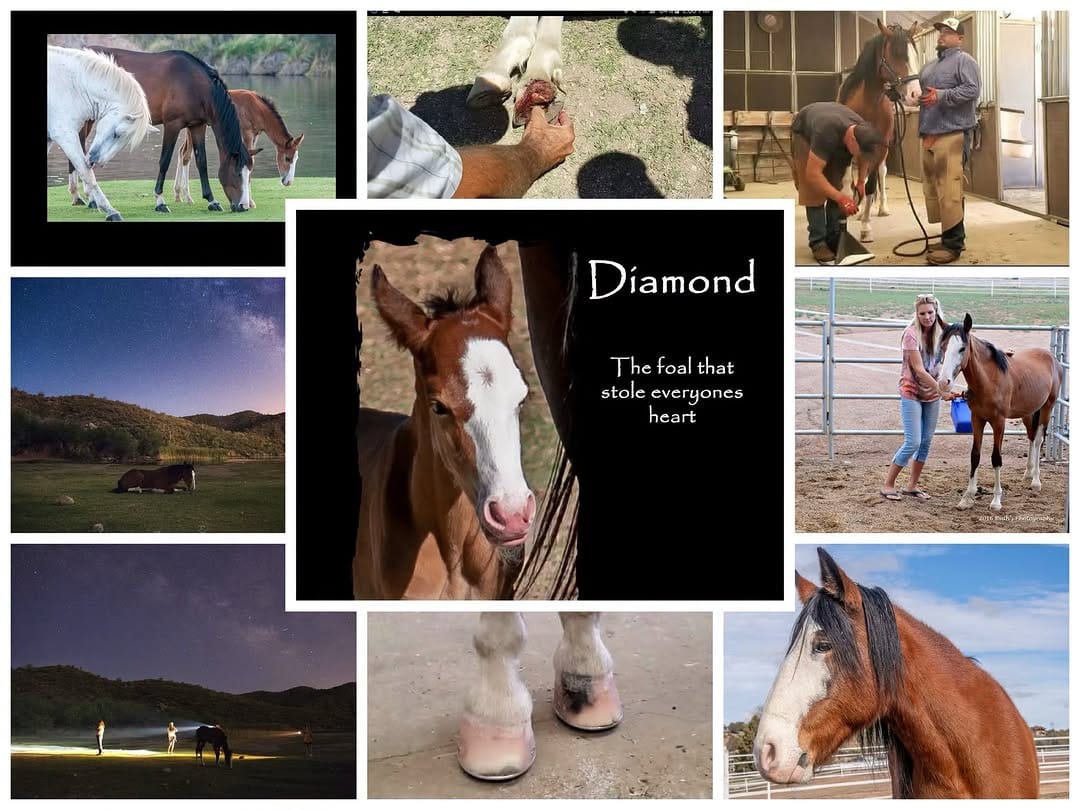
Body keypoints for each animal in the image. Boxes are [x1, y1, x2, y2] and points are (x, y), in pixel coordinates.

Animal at [46, 46, 157, 222]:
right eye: (117, 134)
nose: (96, 161)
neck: (72, 85)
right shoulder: (66, 135)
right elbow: (87, 173)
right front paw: (110, 210)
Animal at [68, 46, 252, 213]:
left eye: (248, 173)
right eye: (238, 173)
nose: (243, 206)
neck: (194, 84)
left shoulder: (197, 126)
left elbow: (202, 162)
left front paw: (212, 201)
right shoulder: (172, 125)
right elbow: (165, 161)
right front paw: (160, 201)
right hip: (87, 120)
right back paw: (82, 197)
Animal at [174, 89, 304, 209]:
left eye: (296, 159)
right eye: (287, 158)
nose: (288, 182)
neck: (257, 108)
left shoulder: (255, 135)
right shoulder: (247, 133)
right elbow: (250, 160)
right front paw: (250, 202)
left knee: (181, 151)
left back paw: (178, 195)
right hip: (195, 127)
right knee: (186, 156)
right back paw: (188, 197)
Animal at [838, 19, 922, 243]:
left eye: (915, 54)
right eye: (897, 54)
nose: (916, 95)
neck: (868, 104)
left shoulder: (880, 148)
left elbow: (870, 184)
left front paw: (866, 228)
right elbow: (851, 180)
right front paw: (852, 212)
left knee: (879, 175)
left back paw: (881, 208)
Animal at [936, 313, 1063, 512]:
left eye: (962, 348)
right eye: (942, 346)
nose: (943, 382)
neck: (989, 381)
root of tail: (1051, 357)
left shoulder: (998, 422)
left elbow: (996, 458)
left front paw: (996, 500)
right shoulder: (977, 419)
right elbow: (975, 455)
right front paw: (967, 497)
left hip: (1047, 408)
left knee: (1038, 440)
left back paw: (1035, 481)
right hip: (1028, 413)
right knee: (1031, 437)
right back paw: (1028, 473)